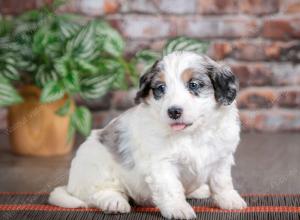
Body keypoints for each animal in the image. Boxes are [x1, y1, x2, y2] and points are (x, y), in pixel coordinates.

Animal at [48, 51, 246, 218]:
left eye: (194, 85)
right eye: (160, 88)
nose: (173, 111)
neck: (192, 134)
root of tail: (71, 185)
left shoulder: (221, 158)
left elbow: (221, 182)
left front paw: (230, 200)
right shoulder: (161, 163)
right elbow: (171, 187)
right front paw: (178, 208)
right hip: (98, 168)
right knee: (98, 193)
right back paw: (114, 202)